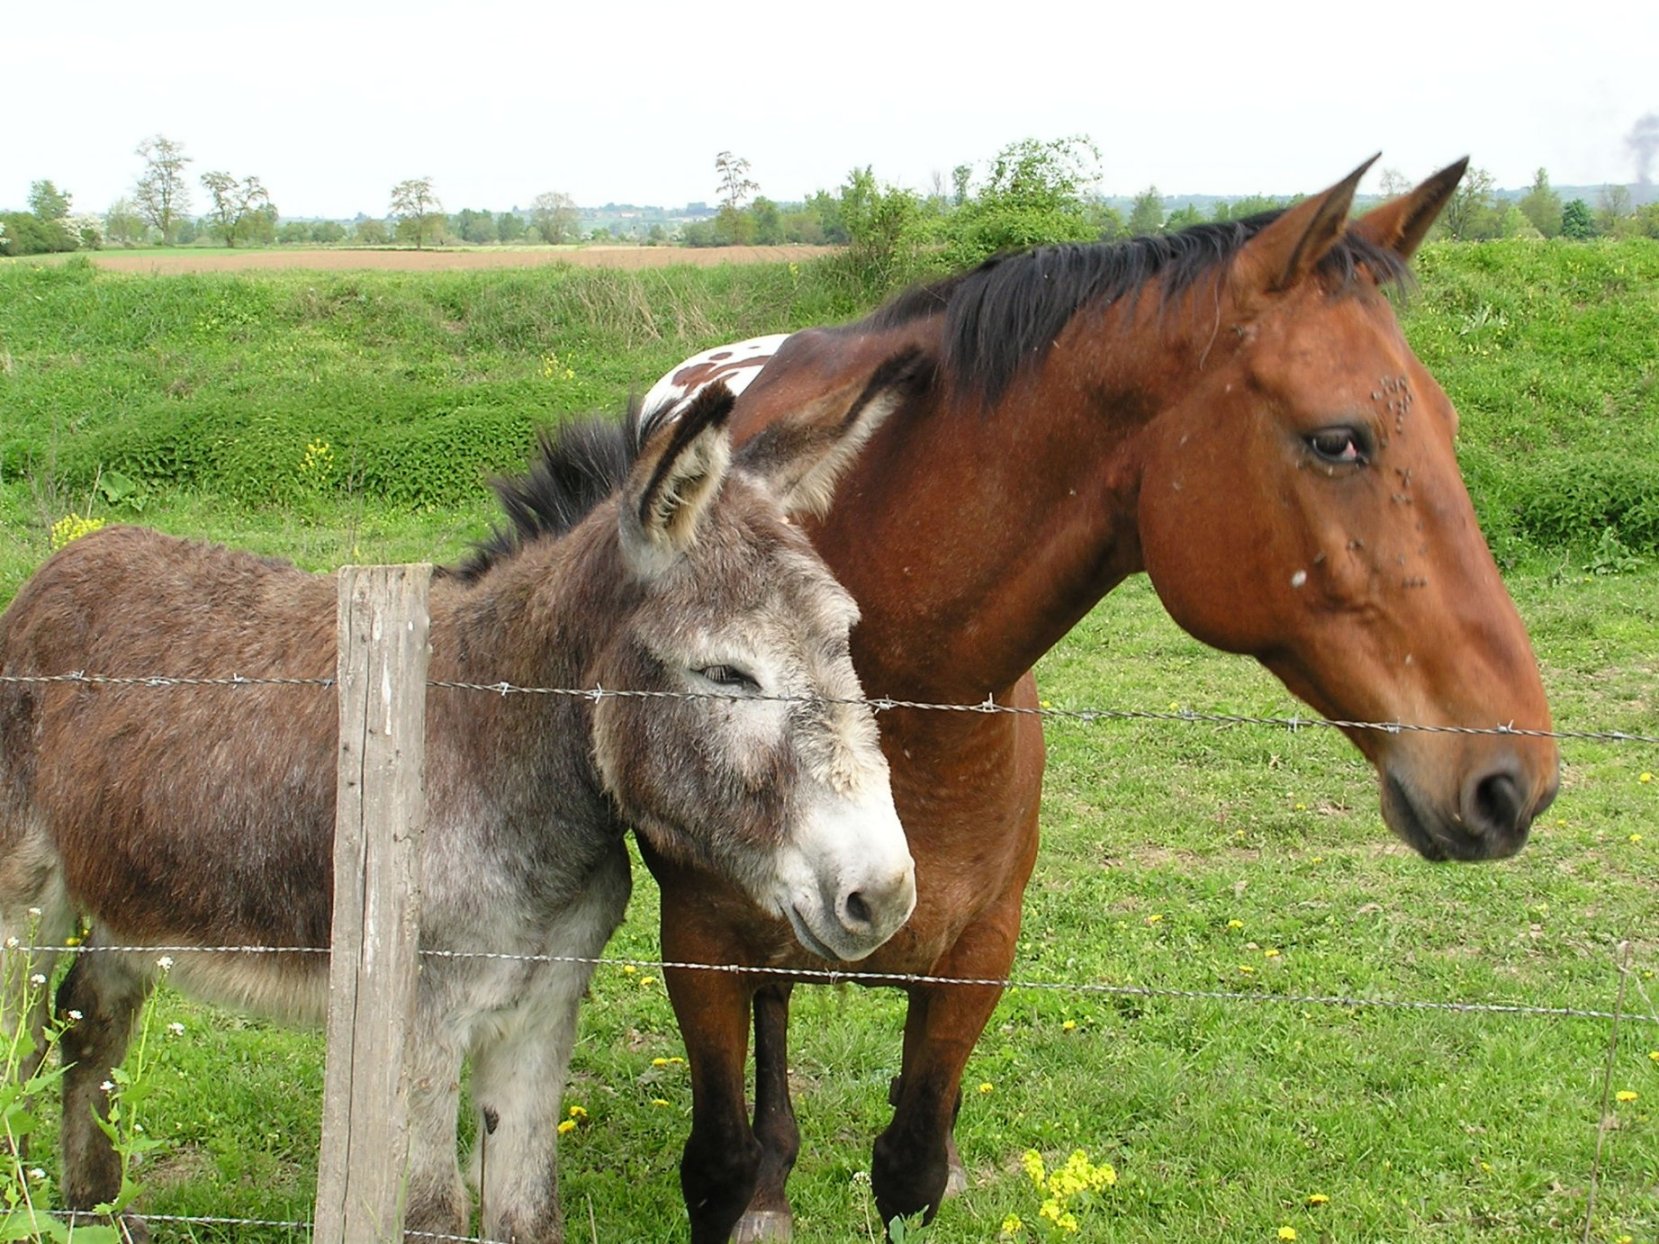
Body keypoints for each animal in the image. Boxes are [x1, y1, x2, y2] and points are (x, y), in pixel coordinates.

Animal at [0, 364, 922, 1240]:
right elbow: (432, 1216)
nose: (882, 896)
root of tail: (67, 559)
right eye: (726, 673)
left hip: (131, 896)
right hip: (26, 903)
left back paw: (93, 1213)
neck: (507, 766)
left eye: (844, 643)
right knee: (19, 1053)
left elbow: (526, 1214)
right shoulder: (418, 1026)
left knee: (91, 1025)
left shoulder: (542, 1013)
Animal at [633, 160, 1552, 1240]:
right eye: (1338, 440)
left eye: (1445, 426)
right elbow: (718, 1164)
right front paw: (755, 1181)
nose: (1512, 778)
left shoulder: (977, 957)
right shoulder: (696, 947)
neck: (906, 690)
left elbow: (911, 1166)